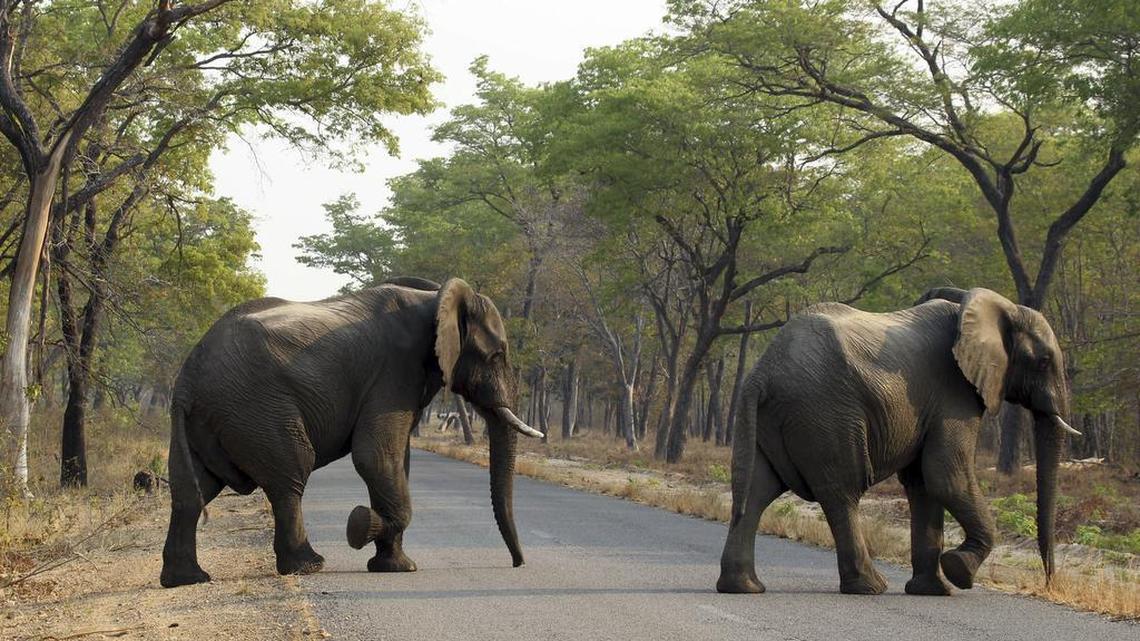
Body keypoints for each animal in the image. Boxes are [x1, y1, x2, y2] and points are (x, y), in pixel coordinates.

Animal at [160, 277, 543, 588]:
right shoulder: (394, 371)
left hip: (209, 420)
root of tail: (187, 380)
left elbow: (396, 460)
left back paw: (187, 579)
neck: (434, 298)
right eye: (497, 355)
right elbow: (375, 457)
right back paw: (309, 566)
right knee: (290, 477)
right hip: (256, 408)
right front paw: (360, 526)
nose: (518, 564)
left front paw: (395, 567)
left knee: (192, 491)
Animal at [716, 287, 1078, 596]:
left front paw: (933, 591)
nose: (1049, 582)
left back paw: (743, 587)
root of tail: (763, 372)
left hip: (774, 417)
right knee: (841, 492)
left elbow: (923, 483)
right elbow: (946, 475)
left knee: (755, 490)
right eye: (1044, 361)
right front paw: (959, 571)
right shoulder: (954, 393)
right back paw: (870, 587)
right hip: (825, 413)